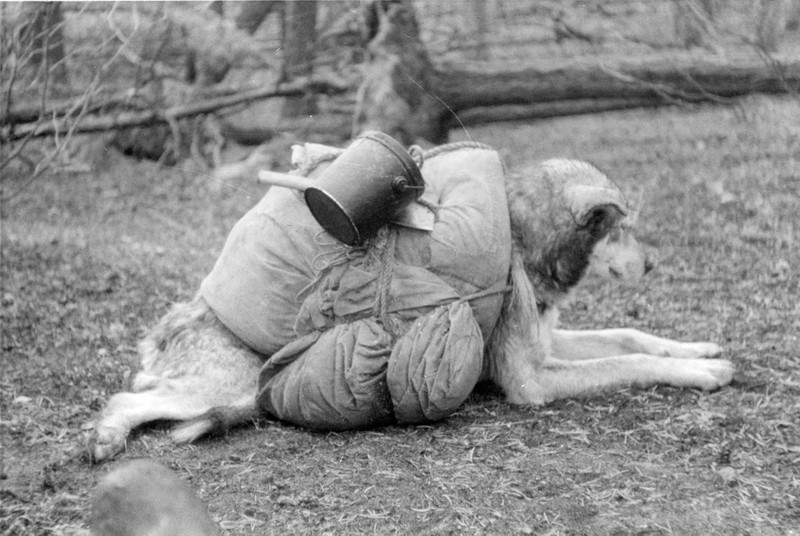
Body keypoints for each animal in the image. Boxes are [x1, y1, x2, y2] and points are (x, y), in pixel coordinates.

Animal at [88, 158, 734, 462]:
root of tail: (159, 336)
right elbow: (631, 363)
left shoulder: (549, 343)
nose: (653, 265)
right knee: (126, 398)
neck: (524, 236)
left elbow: (632, 336)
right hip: (240, 387)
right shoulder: (531, 381)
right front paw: (702, 373)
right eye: (620, 230)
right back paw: (105, 440)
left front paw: (702, 349)